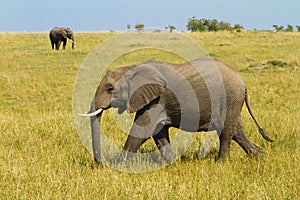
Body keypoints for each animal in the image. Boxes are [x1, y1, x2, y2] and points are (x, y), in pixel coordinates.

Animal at [80, 57, 274, 164]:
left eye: (110, 88)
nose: (99, 164)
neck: (131, 67)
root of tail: (243, 82)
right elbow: (158, 133)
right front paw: (174, 164)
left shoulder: (157, 99)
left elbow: (142, 130)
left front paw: (119, 167)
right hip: (233, 101)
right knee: (236, 131)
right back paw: (260, 156)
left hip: (230, 98)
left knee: (226, 132)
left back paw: (220, 163)